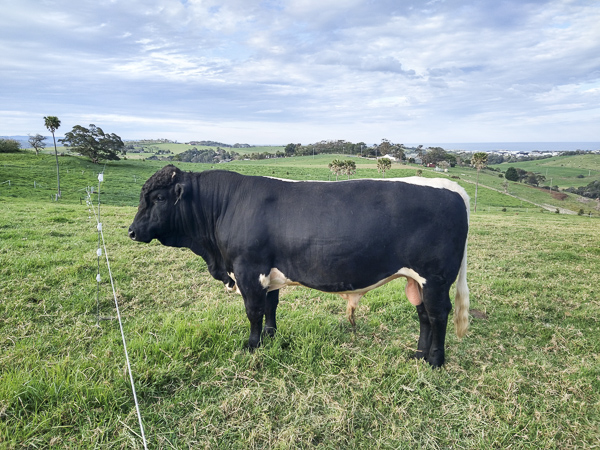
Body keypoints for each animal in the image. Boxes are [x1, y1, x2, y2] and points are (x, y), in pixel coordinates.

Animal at [130, 165, 468, 366]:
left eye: (158, 198)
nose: (132, 231)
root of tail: (454, 188)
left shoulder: (248, 269)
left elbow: (253, 310)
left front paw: (251, 345)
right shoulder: (268, 272)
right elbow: (270, 306)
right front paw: (270, 337)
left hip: (436, 277)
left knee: (438, 315)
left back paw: (435, 360)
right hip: (417, 279)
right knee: (423, 315)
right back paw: (419, 354)